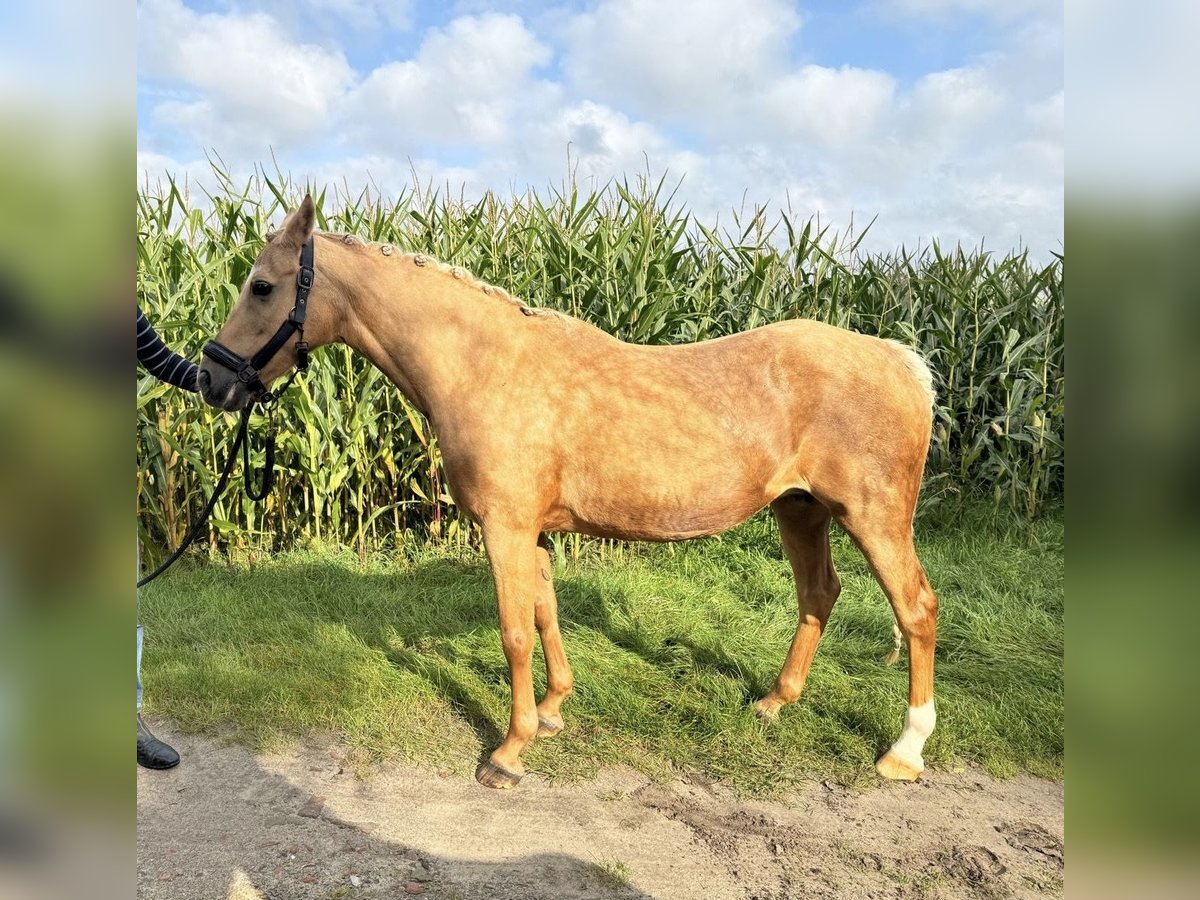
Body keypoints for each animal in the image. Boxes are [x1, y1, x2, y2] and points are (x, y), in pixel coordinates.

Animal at [201, 200, 940, 792]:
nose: (211, 379)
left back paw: (904, 752)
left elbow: (513, 633)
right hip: (799, 509)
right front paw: (554, 711)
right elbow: (545, 615)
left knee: (916, 610)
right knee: (819, 595)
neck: (487, 367)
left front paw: (507, 752)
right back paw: (773, 704)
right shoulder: (532, 530)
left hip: (873, 518)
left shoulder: (504, 528)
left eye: (262, 286)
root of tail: (900, 359)